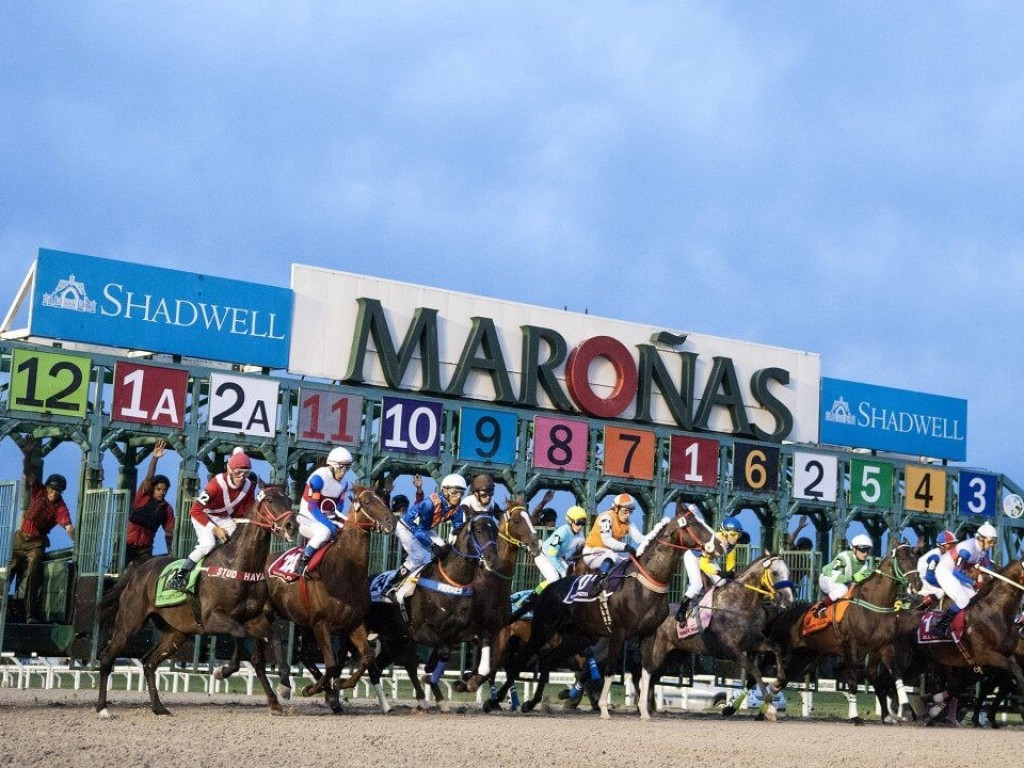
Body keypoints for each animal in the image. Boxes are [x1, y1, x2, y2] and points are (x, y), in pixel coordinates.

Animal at [95, 483, 294, 720]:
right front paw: (223, 670)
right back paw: (103, 708)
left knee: (149, 662)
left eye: (289, 500)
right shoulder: (212, 618)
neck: (238, 564)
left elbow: (274, 639)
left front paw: (284, 685)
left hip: (176, 633)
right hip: (129, 624)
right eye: (270, 500)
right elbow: (239, 633)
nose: (291, 525)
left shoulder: (254, 618)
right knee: (107, 657)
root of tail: (138, 570)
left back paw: (159, 707)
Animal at [366, 514, 501, 712]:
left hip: (395, 640)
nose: (492, 559)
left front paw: (472, 679)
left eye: (496, 531)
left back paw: (401, 704)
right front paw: (432, 679)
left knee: (381, 667)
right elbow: (442, 652)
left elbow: (482, 638)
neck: (452, 583)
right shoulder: (421, 631)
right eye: (478, 530)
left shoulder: (459, 630)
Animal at [495, 512, 720, 720]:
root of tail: (548, 589)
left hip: (577, 637)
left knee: (547, 661)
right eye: (694, 524)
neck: (645, 583)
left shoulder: (649, 634)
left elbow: (646, 671)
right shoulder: (618, 633)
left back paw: (530, 703)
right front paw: (603, 708)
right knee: (519, 661)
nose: (719, 544)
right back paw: (496, 700)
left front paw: (644, 711)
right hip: (543, 630)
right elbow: (610, 669)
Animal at [634, 552, 794, 720]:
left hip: (674, 656)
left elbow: (776, 648)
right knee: (645, 672)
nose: (789, 600)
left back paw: (648, 708)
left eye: (789, 573)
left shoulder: (753, 642)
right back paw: (643, 708)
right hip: (658, 650)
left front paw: (778, 683)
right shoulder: (731, 650)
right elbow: (754, 670)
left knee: (653, 676)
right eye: (775, 573)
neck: (739, 606)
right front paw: (771, 709)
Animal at [765, 544, 925, 724]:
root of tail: (783, 614)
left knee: (783, 679)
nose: (917, 584)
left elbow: (897, 675)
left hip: (805, 658)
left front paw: (905, 709)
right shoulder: (851, 648)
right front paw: (855, 716)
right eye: (902, 558)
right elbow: (853, 682)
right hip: (782, 649)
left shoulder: (884, 647)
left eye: (916, 558)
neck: (874, 605)